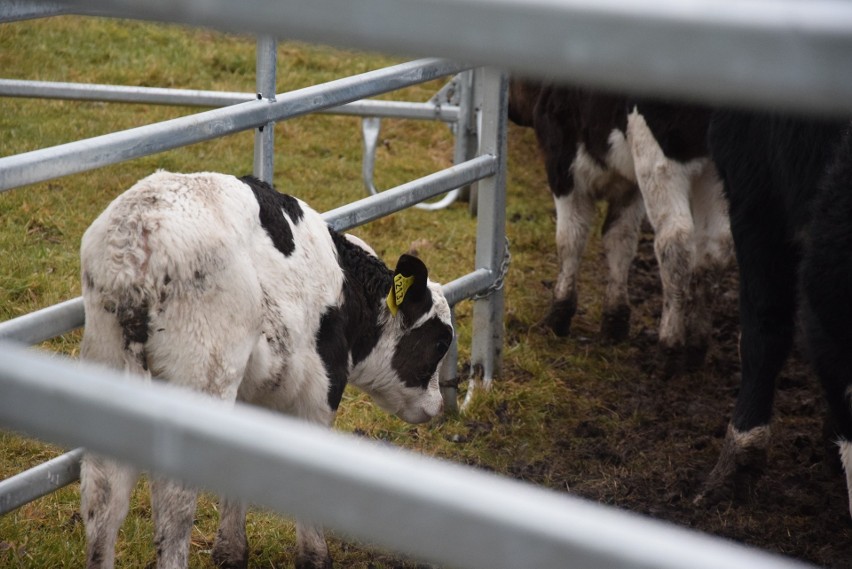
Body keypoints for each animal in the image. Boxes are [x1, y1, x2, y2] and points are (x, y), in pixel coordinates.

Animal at [76, 171, 456, 564]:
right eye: (441, 342)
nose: (437, 405)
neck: (346, 290)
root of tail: (136, 235)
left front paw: (230, 552)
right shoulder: (320, 391)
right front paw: (315, 557)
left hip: (109, 357)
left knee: (103, 491)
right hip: (201, 378)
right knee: (173, 501)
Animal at [510, 79, 736, 372]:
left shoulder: (562, 160)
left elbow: (571, 237)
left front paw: (558, 316)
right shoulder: (629, 187)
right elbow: (620, 239)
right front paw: (614, 321)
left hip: (659, 162)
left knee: (675, 241)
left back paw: (669, 347)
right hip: (715, 175)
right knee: (715, 249)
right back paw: (697, 347)